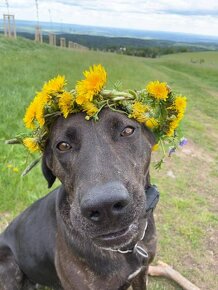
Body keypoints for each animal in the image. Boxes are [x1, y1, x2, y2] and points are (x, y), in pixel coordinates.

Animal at [0, 109, 159, 290]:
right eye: (63, 146)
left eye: (127, 130)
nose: (105, 206)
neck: (126, 248)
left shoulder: (141, 271)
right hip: (8, 264)